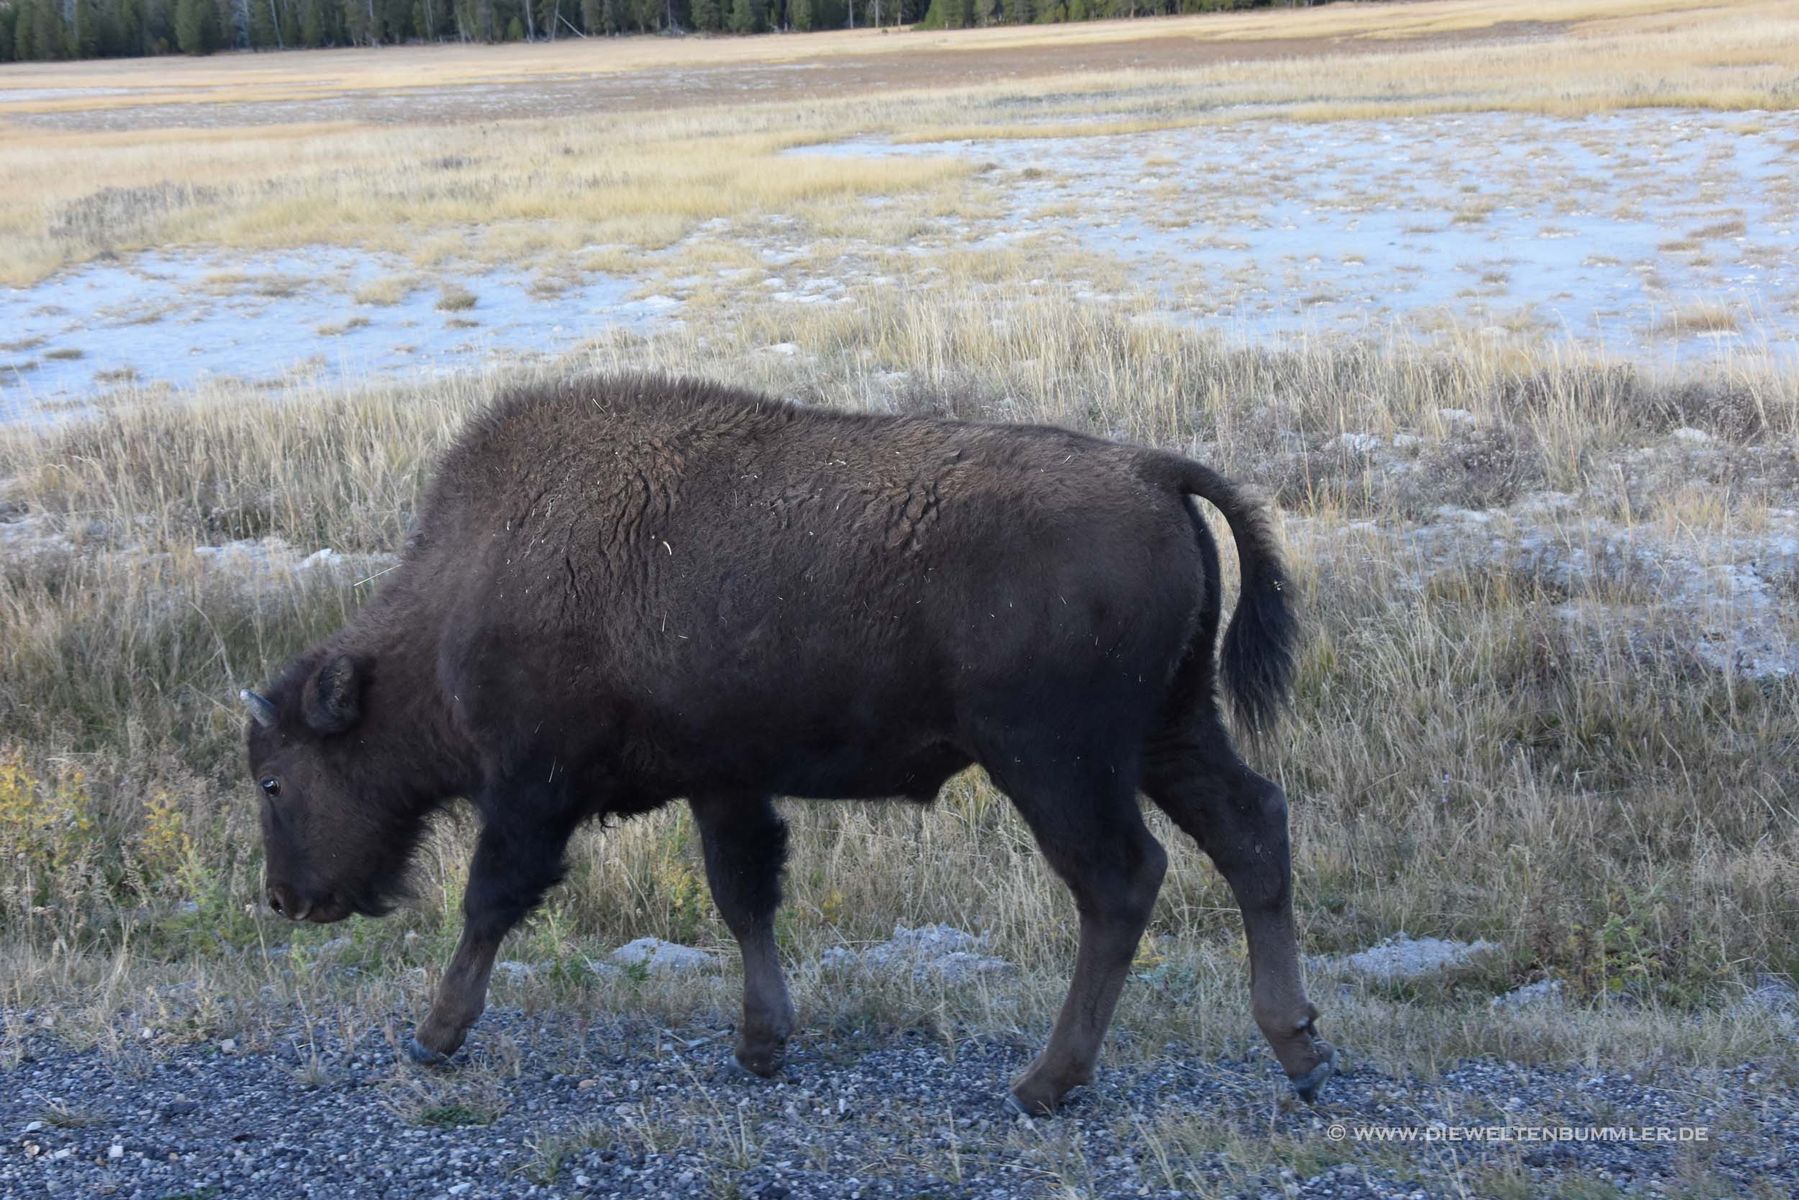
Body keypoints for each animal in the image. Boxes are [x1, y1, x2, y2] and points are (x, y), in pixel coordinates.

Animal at [242, 374, 1335, 1114]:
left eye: (275, 781)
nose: (285, 900)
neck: (469, 587)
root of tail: (1151, 469)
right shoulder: (722, 780)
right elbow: (745, 897)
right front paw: (762, 1045)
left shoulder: (532, 789)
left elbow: (489, 903)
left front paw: (432, 1037)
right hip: (1168, 731)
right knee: (1249, 829)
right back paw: (1298, 1050)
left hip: (1055, 761)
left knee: (1119, 880)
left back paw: (1045, 1083)